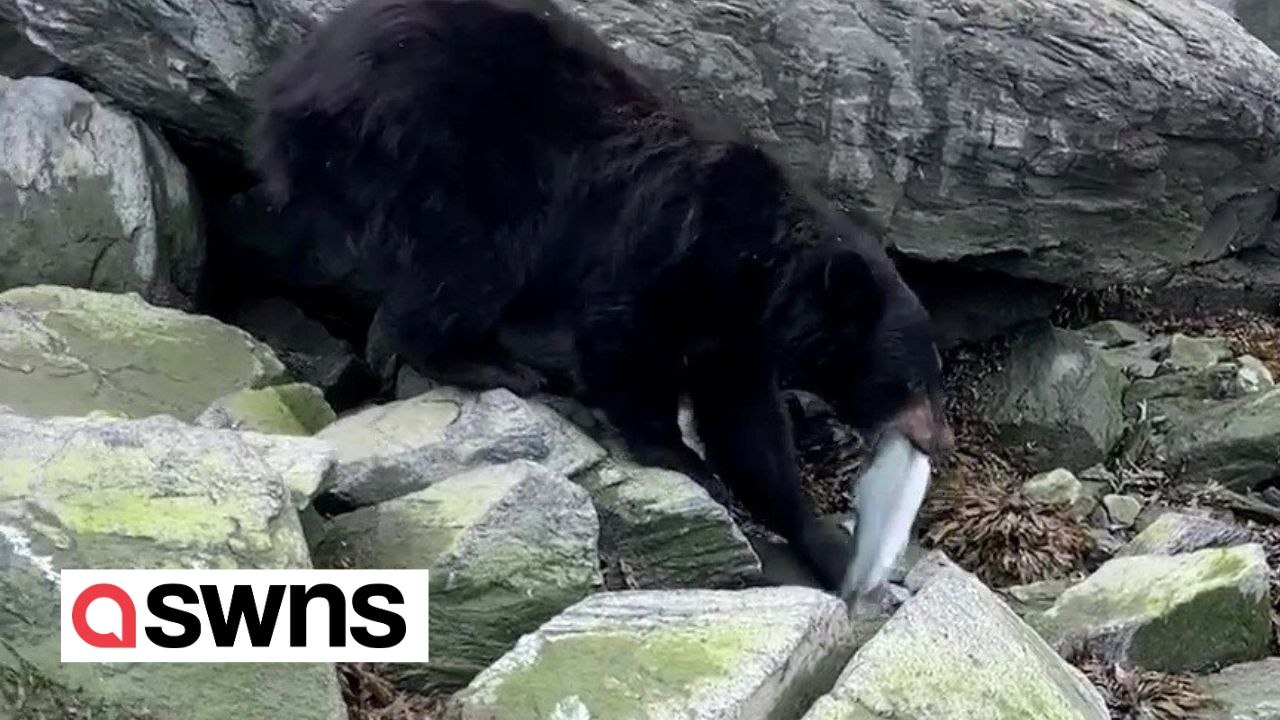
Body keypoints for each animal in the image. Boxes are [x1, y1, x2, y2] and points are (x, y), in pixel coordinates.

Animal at [252, 0, 953, 591]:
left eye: (931, 379)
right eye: (910, 381)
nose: (940, 442)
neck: (761, 270)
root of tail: (293, 87)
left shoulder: (740, 339)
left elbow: (748, 430)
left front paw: (826, 545)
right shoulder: (671, 252)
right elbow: (622, 341)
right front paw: (680, 455)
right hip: (449, 155)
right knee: (471, 260)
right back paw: (492, 364)